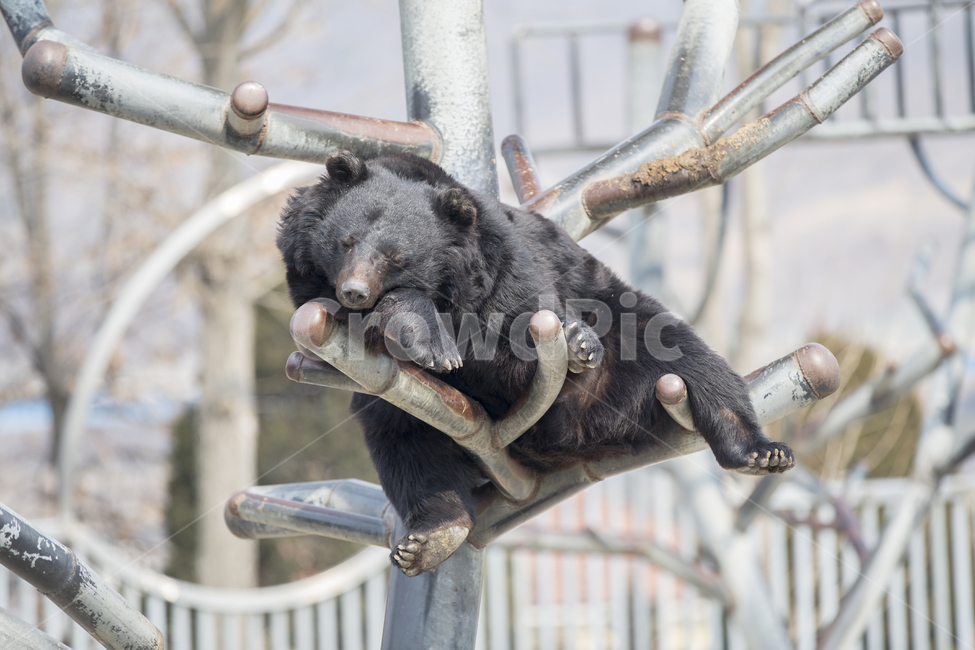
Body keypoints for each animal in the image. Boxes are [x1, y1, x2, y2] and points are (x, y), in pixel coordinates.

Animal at [277, 150, 795, 577]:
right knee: (403, 442)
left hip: (626, 331)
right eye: (345, 242)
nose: (354, 290)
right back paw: (432, 536)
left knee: (694, 362)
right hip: (395, 406)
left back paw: (761, 452)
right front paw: (432, 345)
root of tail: (576, 439)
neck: (448, 291)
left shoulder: (501, 270)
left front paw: (573, 342)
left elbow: (519, 329)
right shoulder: (308, 277)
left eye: (396, 257)